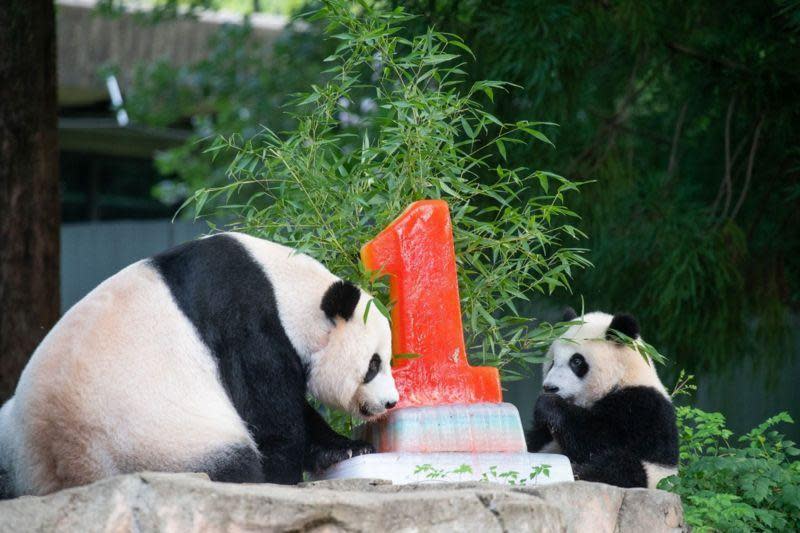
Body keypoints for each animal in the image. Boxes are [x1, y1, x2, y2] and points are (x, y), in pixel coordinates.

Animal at [0, 231, 398, 496]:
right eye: (373, 365)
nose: (390, 402)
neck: (286, 291)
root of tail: (65, 466)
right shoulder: (246, 326)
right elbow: (270, 416)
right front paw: (284, 475)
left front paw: (349, 447)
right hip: (156, 440)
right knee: (228, 458)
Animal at [528, 310, 680, 488]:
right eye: (552, 362)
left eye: (576, 361)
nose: (550, 388)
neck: (622, 376)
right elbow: (535, 439)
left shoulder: (643, 407)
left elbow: (597, 439)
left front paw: (547, 404)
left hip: (653, 475)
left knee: (621, 467)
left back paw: (579, 471)